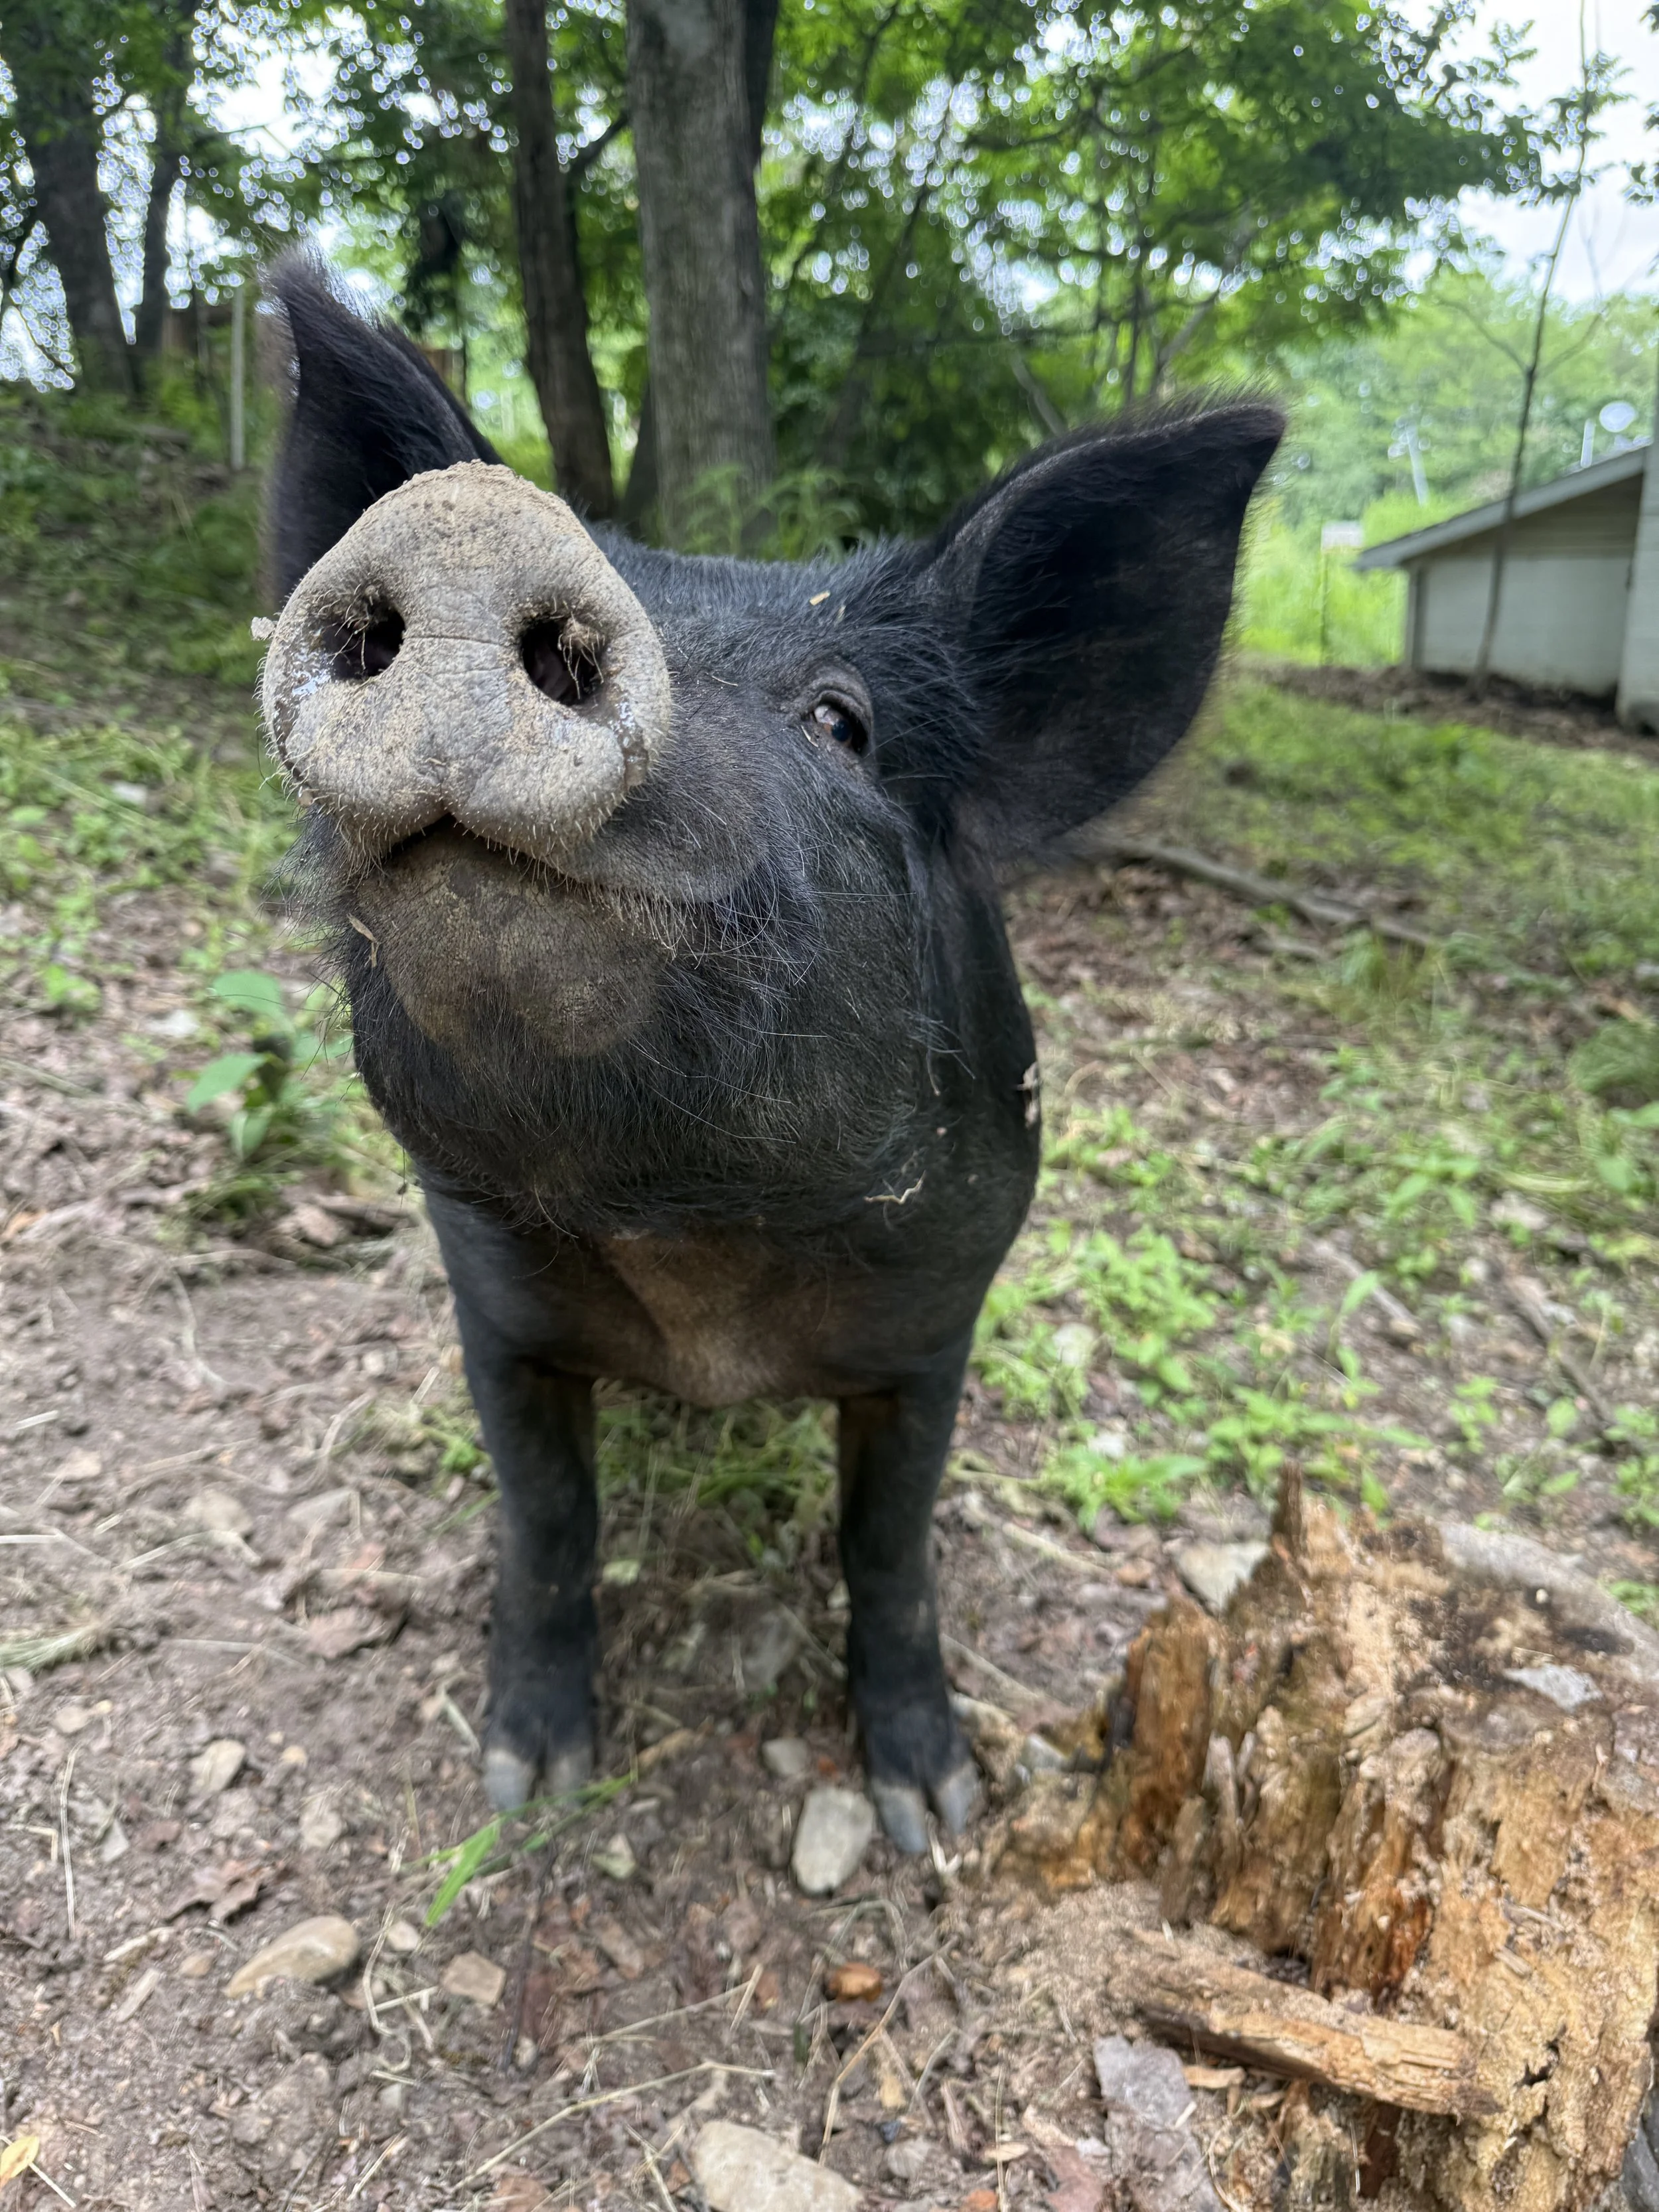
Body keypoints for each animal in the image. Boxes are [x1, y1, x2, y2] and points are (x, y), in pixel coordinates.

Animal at [261, 260, 1281, 1853]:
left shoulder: (939, 1318)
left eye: (842, 719)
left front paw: (933, 1810)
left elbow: (888, 1543)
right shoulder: (490, 1301)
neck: (700, 1255)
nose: (469, 522)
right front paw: (528, 1784)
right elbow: (550, 1521)